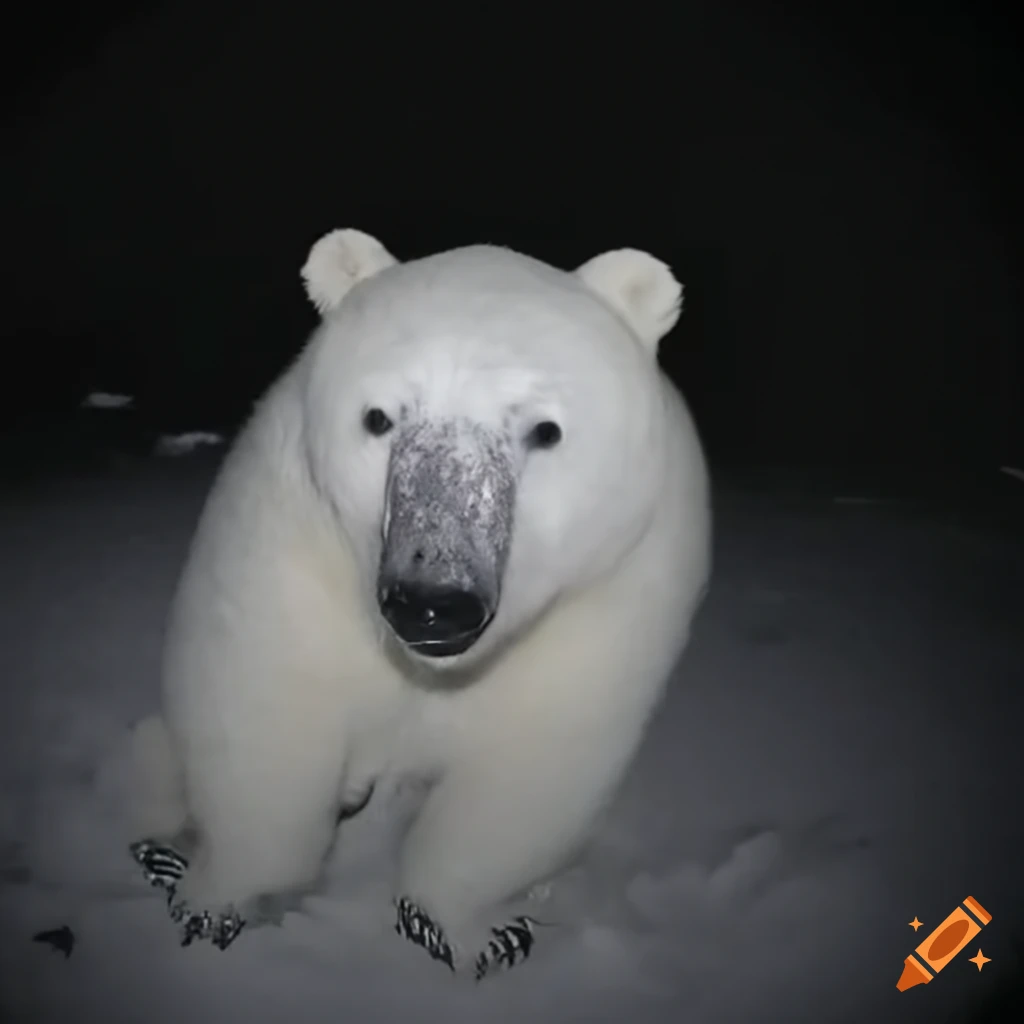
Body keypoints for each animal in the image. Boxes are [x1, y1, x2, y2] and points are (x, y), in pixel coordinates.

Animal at [128, 229, 712, 979]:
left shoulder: (611, 592)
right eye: (377, 418)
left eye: (546, 430)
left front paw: (471, 930)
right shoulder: (289, 548)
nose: (432, 603)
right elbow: (267, 718)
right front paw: (219, 900)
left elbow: (536, 764)